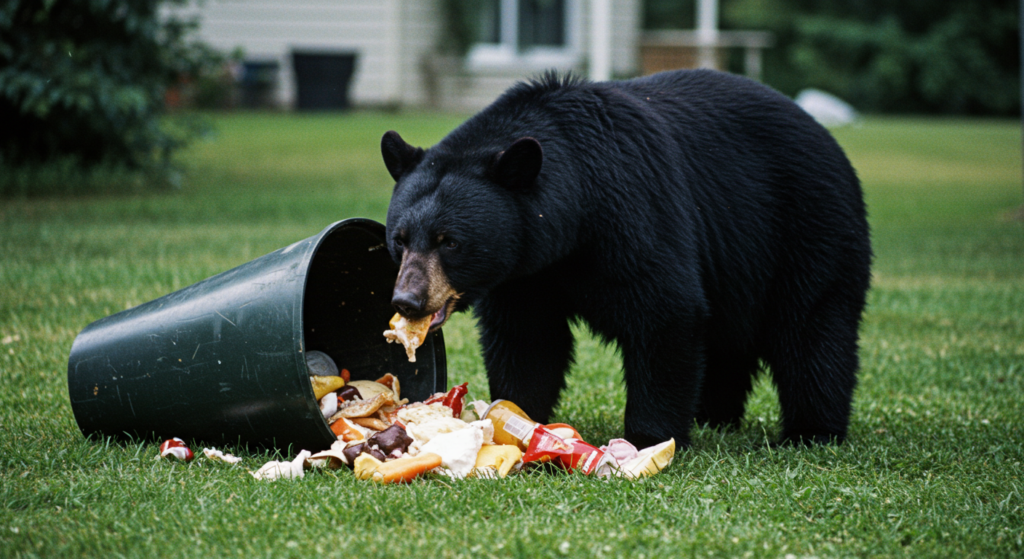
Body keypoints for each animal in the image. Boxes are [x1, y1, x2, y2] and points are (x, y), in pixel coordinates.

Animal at [380, 69, 868, 446]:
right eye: (400, 239)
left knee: (812, 330)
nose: (407, 300)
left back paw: (811, 431)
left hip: (808, 227)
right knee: (730, 341)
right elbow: (526, 338)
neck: (575, 213)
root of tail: (826, 135)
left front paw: (649, 437)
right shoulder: (525, 270)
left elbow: (665, 312)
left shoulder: (634, 211)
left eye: (449, 241)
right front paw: (519, 414)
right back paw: (715, 416)